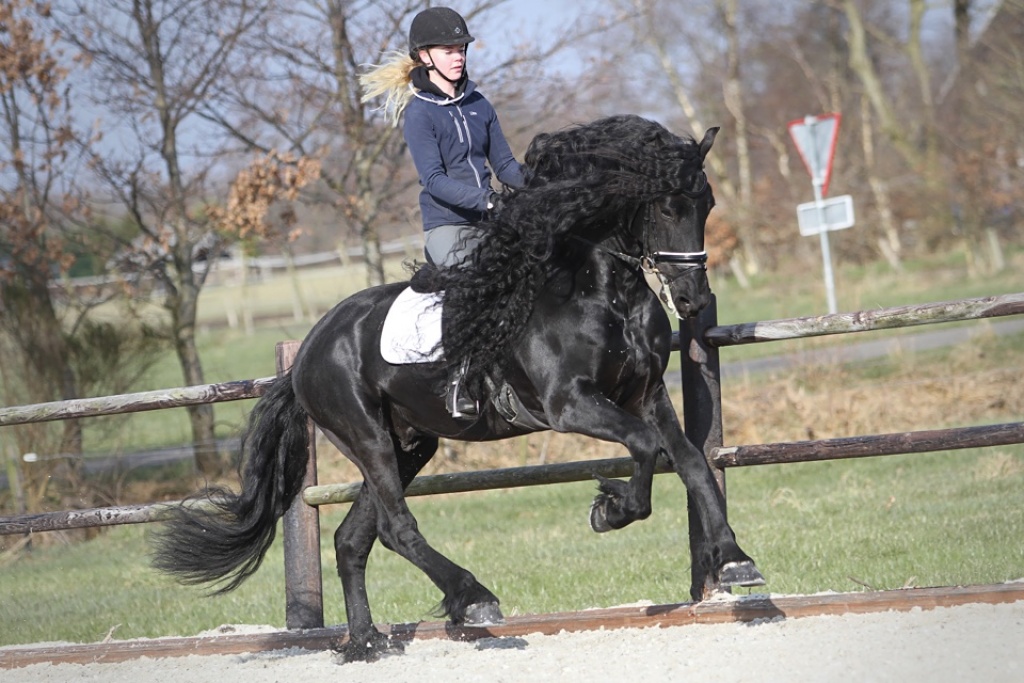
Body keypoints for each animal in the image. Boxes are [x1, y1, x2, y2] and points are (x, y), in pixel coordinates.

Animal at [152, 114, 764, 663]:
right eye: (667, 207)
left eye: (707, 205)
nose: (690, 299)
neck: (598, 290)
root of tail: (304, 352)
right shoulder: (571, 404)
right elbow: (643, 447)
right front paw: (610, 511)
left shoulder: (645, 395)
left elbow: (691, 460)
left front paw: (734, 560)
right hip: (366, 435)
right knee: (396, 528)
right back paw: (473, 599)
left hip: (408, 444)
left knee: (353, 539)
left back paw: (367, 643)